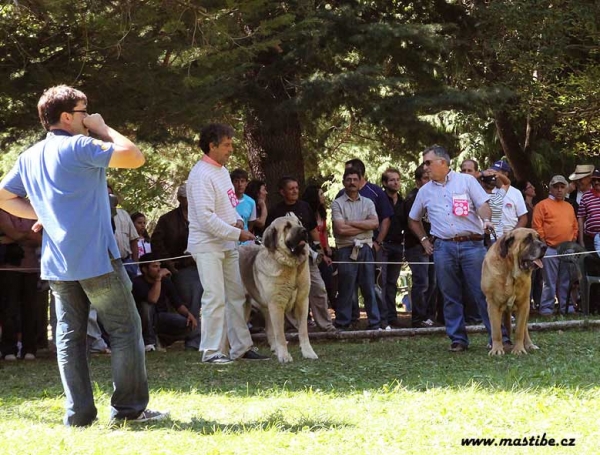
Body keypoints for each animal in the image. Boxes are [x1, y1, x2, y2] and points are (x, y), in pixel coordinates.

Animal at [239, 214, 318, 364]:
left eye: (299, 223)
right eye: (287, 227)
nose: (304, 231)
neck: (291, 267)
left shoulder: (302, 302)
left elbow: (303, 331)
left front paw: (308, 352)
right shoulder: (277, 305)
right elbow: (280, 334)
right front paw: (284, 356)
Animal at [480, 228, 548, 356]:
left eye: (538, 238)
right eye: (527, 239)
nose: (545, 246)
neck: (511, 272)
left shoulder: (523, 305)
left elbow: (519, 330)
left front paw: (519, 349)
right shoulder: (493, 304)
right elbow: (496, 330)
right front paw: (497, 349)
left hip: (526, 308)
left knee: (524, 328)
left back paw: (529, 345)